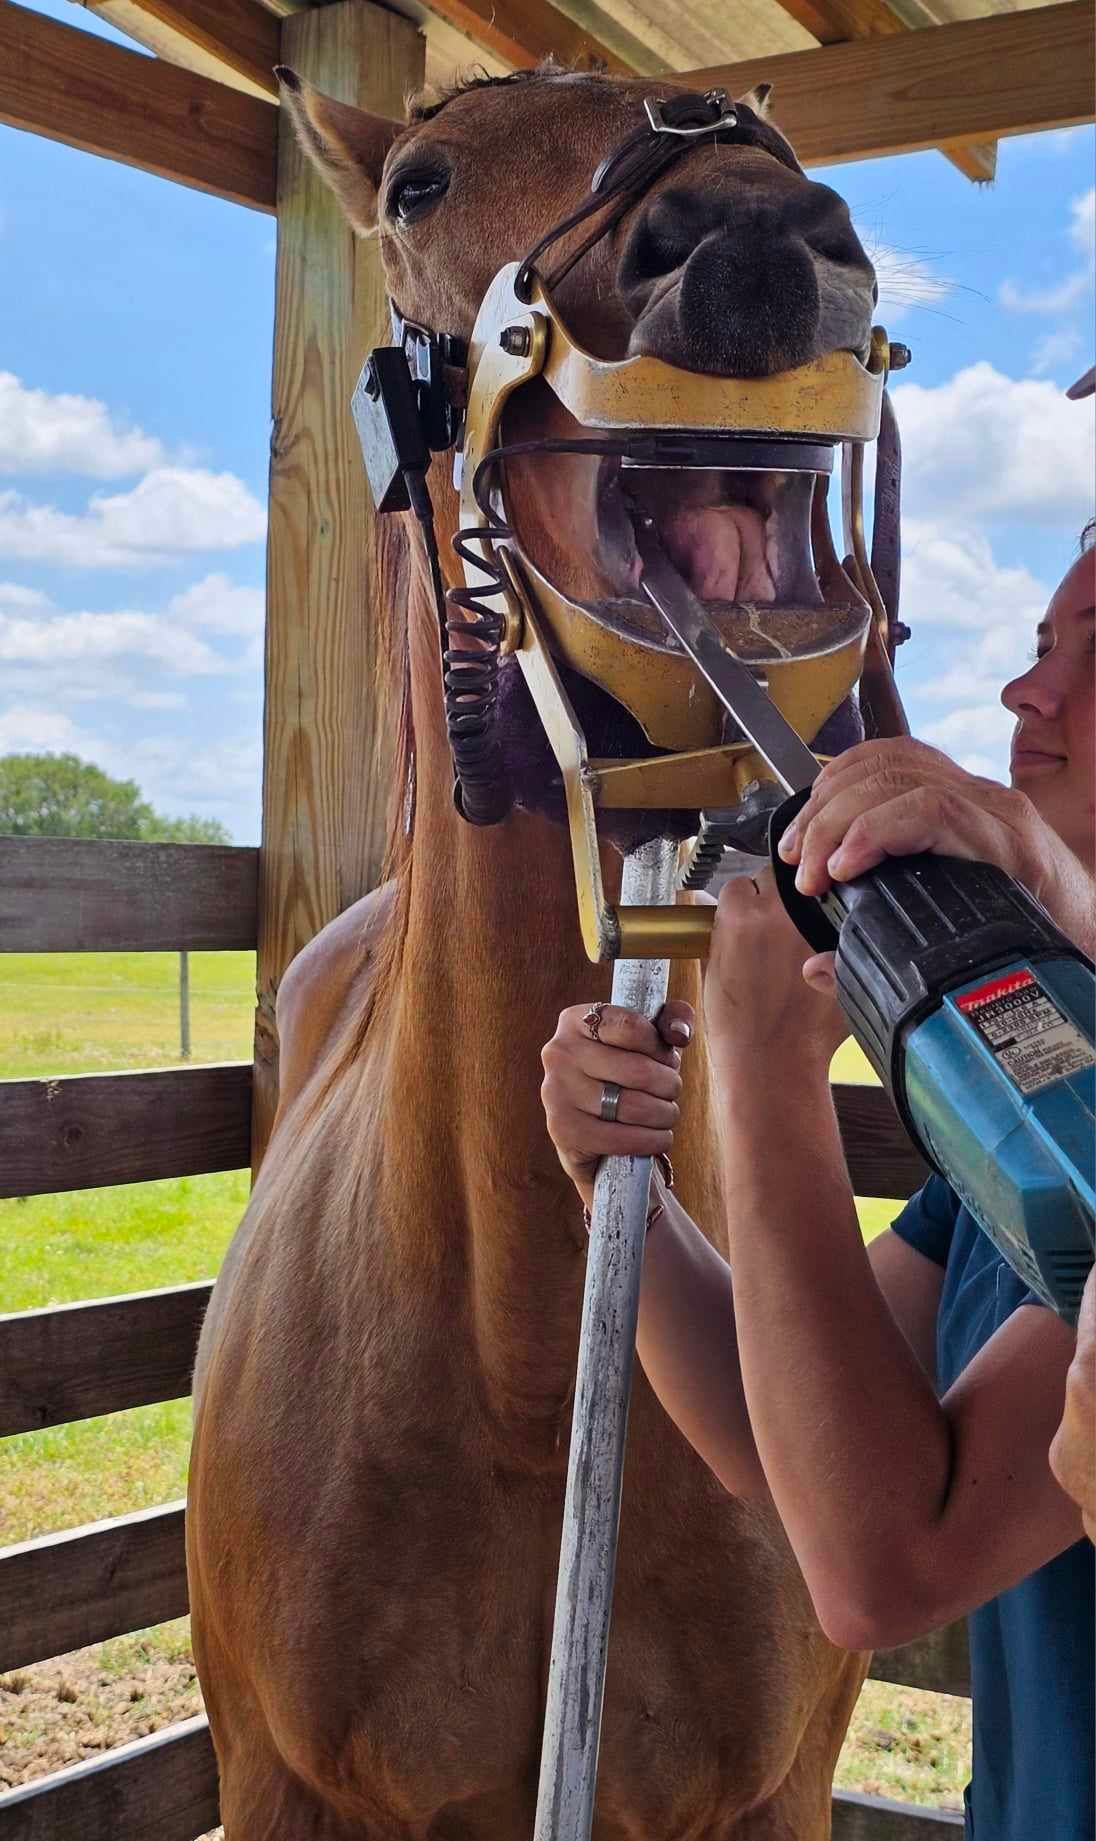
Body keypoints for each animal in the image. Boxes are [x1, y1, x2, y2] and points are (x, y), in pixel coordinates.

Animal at [187, 65, 879, 1839]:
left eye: (777, 132)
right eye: (419, 187)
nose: (756, 242)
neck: (520, 1367)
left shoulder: (773, 1798)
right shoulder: (277, 1785)